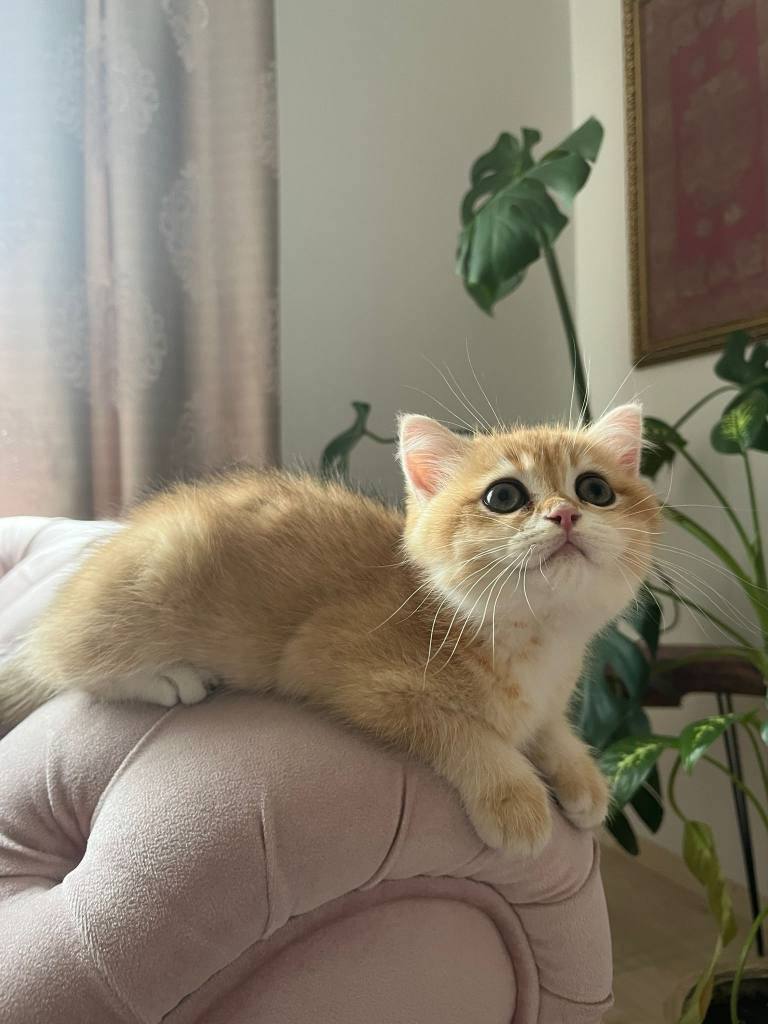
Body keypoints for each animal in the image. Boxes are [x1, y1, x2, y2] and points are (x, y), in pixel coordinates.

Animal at [0, 404, 659, 856]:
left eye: (595, 489)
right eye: (504, 496)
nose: (565, 514)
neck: (534, 640)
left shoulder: (548, 698)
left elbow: (548, 727)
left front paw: (581, 775)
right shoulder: (344, 670)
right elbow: (462, 730)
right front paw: (515, 797)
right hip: (160, 570)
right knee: (68, 663)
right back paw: (169, 678)